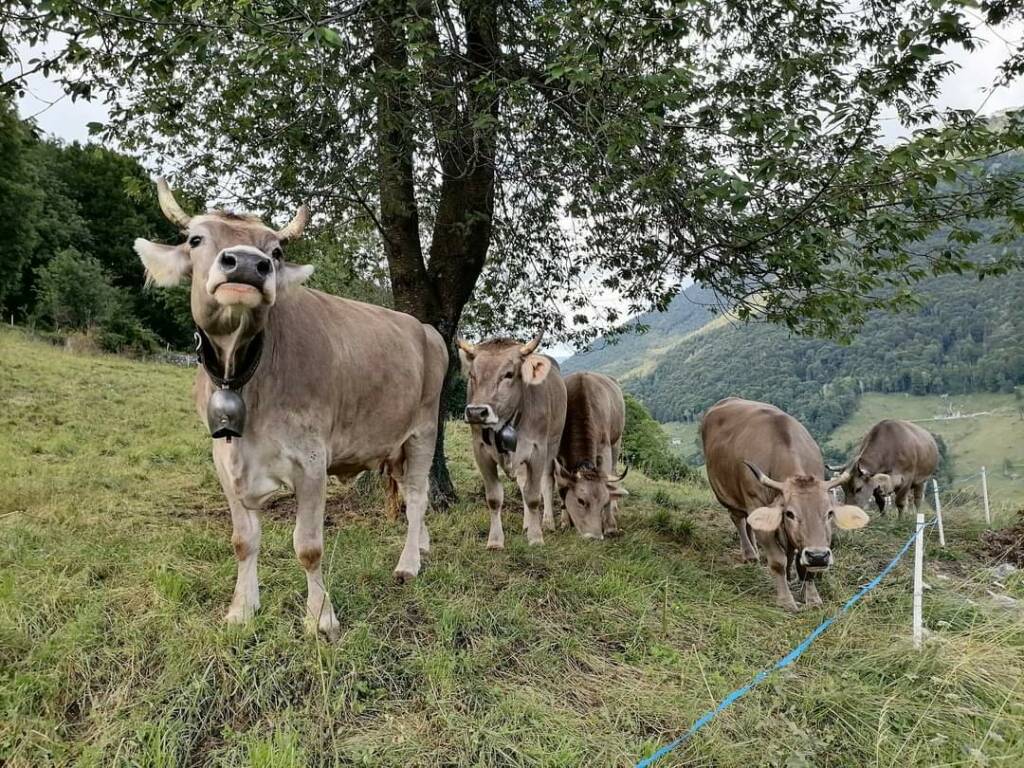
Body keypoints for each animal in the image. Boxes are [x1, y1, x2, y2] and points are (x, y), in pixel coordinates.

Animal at [132, 177, 444, 638]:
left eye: (276, 252)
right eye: (195, 239)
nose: (247, 264)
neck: (245, 375)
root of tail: (424, 327)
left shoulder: (311, 461)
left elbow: (308, 547)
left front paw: (321, 618)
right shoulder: (224, 458)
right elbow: (243, 542)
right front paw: (241, 609)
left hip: (424, 428)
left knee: (419, 497)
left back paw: (408, 564)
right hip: (395, 441)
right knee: (408, 492)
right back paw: (420, 545)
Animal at [458, 333, 569, 548]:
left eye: (508, 374)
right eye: (472, 375)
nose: (476, 412)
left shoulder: (537, 449)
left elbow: (533, 496)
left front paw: (536, 537)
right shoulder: (480, 451)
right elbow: (494, 498)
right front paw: (495, 541)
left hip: (553, 443)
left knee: (546, 481)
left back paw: (547, 522)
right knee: (523, 483)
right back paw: (527, 523)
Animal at [557, 372, 626, 540]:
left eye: (603, 502)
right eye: (581, 501)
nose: (594, 536)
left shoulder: (604, 447)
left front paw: (610, 526)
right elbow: (561, 485)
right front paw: (564, 522)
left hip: (617, 440)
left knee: (614, 471)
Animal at [700, 399, 868, 610]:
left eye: (829, 513)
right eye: (790, 513)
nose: (818, 556)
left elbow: (801, 563)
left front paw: (812, 597)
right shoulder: (757, 504)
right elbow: (777, 560)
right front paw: (786, 600)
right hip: (725, 492)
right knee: (738, 519)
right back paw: (750, 554)